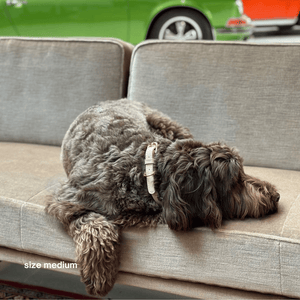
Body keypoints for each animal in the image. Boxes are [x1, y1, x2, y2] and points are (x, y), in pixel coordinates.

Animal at [45, 99, 280, 298]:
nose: (276, 196)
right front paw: (99, 273)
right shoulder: (66, 197)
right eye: (236, 179)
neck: (145, 169)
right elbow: (94, 224)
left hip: (168, 124)